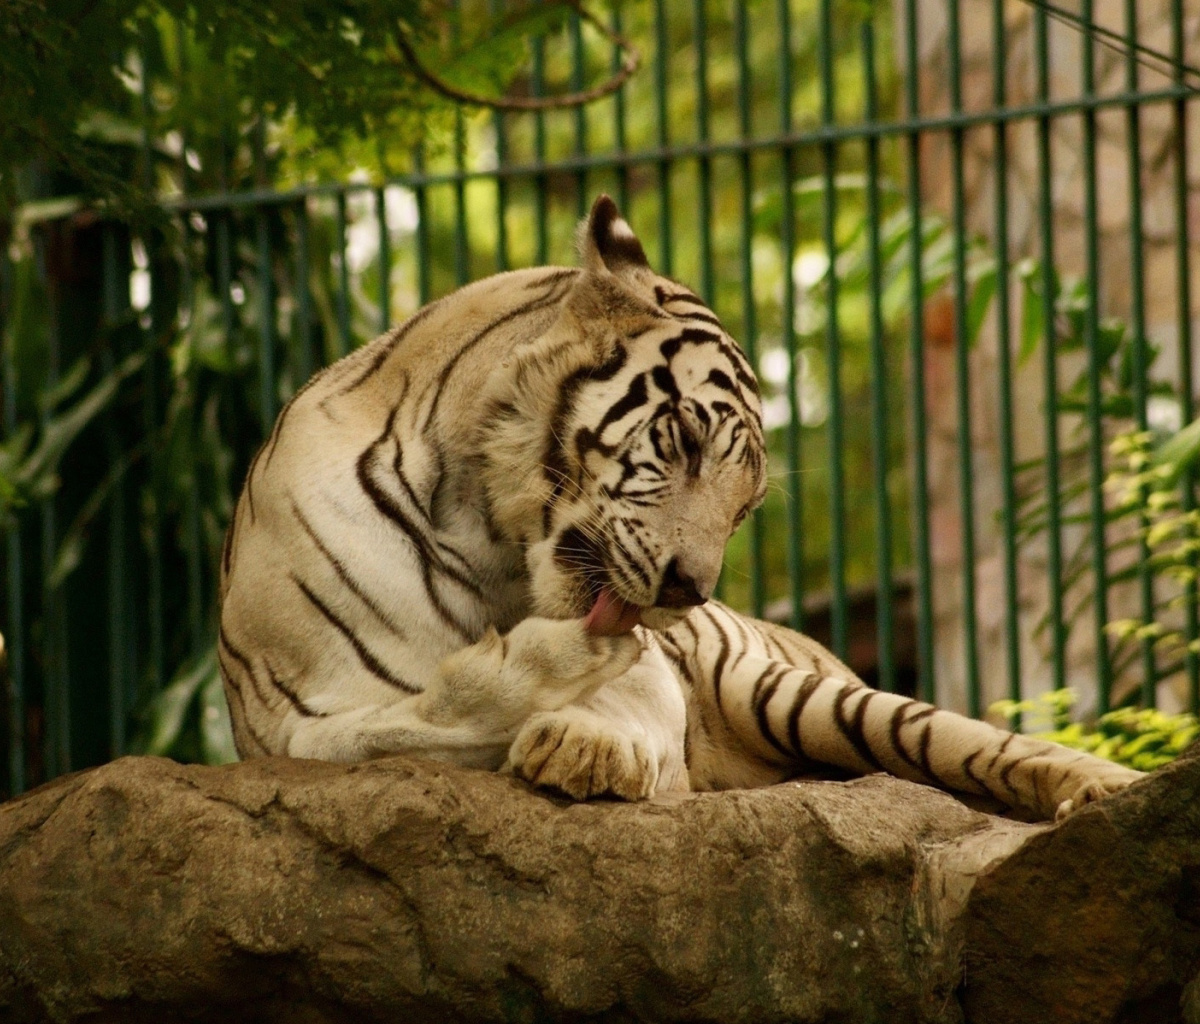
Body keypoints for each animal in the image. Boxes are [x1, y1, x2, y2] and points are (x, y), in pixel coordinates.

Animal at [218, 192, 1142, 821]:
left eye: (744, 509)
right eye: (689, 442)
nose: (687, 592)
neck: (485, 536)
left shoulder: (658, 676)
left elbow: (623, 699)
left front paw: (583, 743)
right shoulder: (292, 722)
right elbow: (409, 719)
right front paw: (539, 676)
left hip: (805, 695)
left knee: (989, 743)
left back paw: (1108, 793)